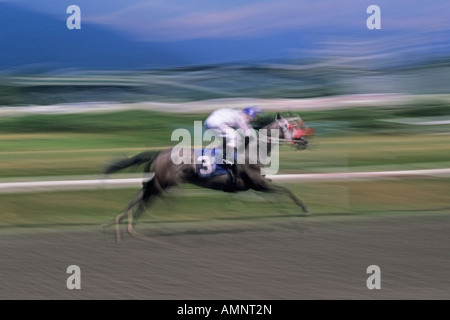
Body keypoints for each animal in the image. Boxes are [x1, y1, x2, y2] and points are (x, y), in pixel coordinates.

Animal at [104, 114, 312, 241]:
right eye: (292, 125)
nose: (304, 141)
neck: (252, 150)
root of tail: (158, 153)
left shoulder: (258, 185)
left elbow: (280, 196)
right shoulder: (258, 184)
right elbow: (286, 191)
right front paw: (302, 212)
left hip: (156, 183)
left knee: (138, 198)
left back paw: (120, 224)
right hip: (164, 183)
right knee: (145, 201)